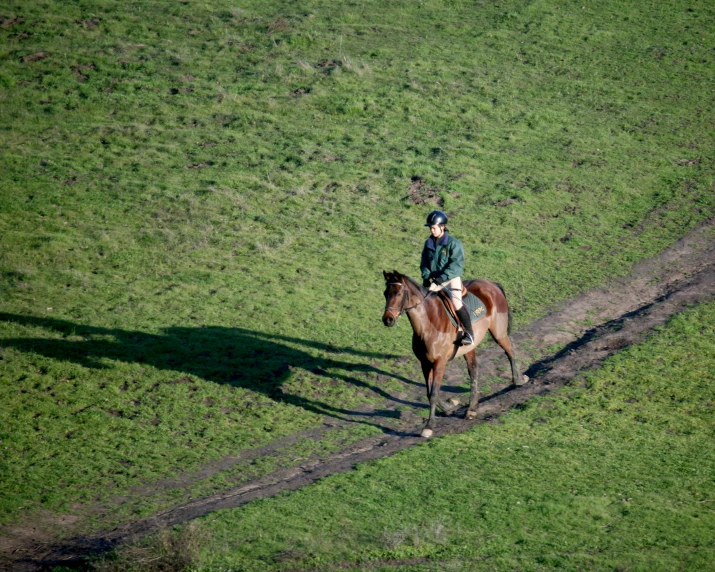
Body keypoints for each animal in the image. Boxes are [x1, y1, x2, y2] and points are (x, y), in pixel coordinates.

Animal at [384, 272, 528, 438]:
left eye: (399, 293)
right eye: (385, 293)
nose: (387, 319)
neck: (428, 324)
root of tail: (491, 284)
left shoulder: (439, 362)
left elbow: (434, 393)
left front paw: (429, 426)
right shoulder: (425, 363)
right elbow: (429, 392)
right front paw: (449, 406)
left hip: (498, 333)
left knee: (510, 351)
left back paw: (518, 380)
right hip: (469, 348)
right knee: (474, 370)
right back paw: (471, 408)